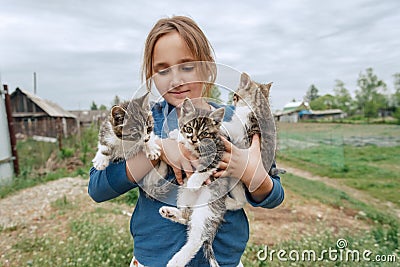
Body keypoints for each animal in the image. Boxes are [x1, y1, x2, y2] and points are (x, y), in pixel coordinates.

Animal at [159, 99, 228, 267]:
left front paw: (195, 181)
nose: (193, 139)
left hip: (207, 208)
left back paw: (176, 261)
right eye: (189, 128)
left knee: (197, 238)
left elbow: (206, 166)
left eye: (204, 133)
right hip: (183, 196)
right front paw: (176, 134)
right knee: (186, 217)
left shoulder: (219, 151)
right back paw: (170, 212)